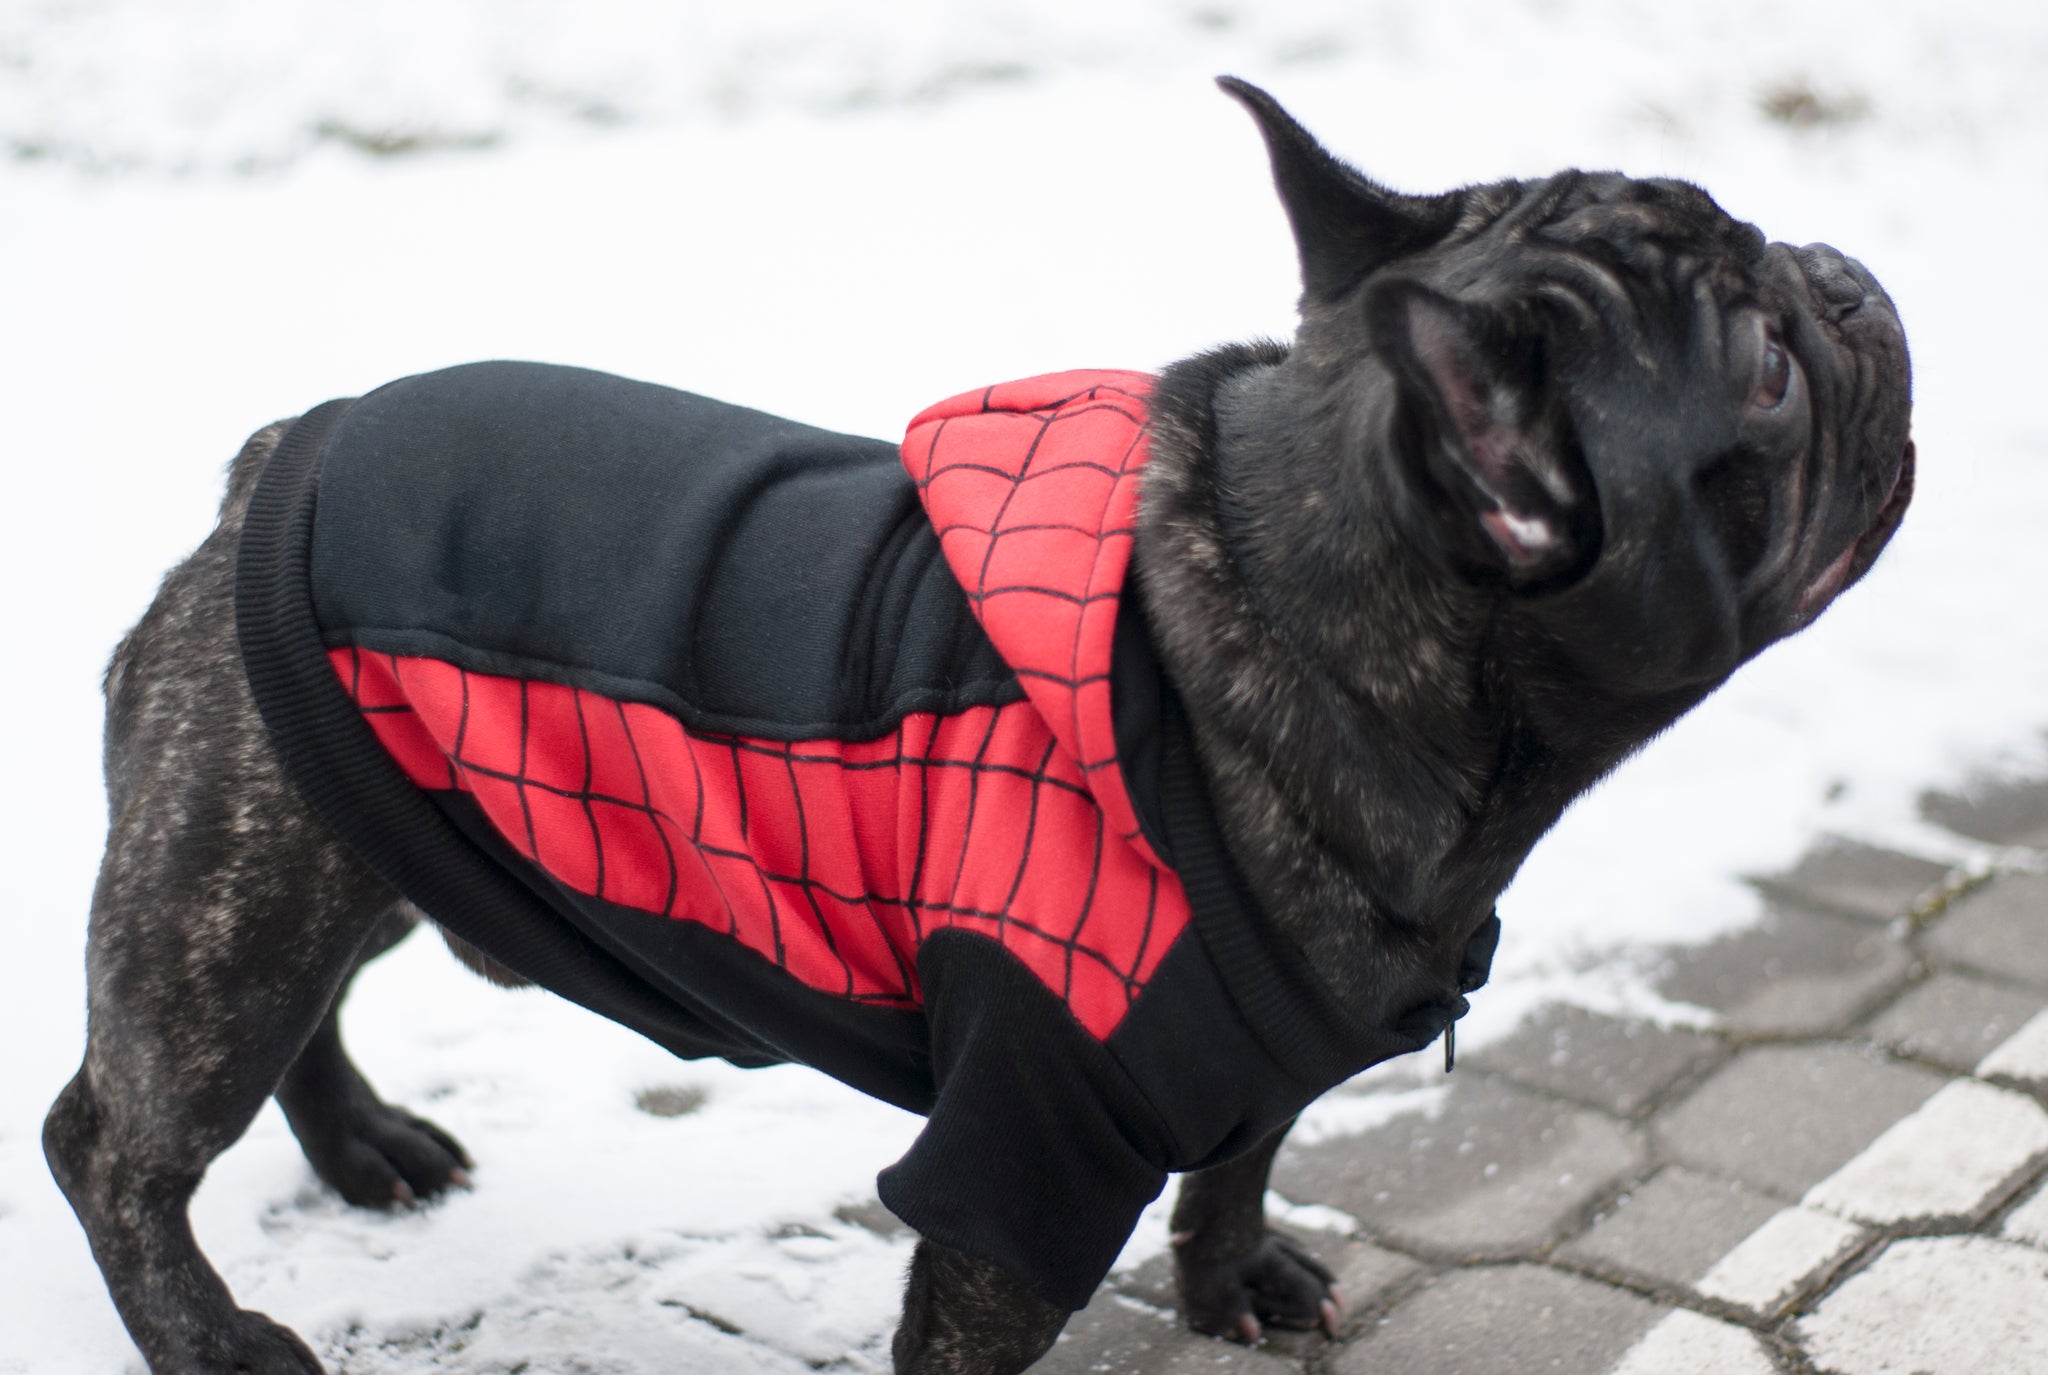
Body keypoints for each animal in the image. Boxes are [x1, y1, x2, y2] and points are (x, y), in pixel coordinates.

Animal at [44, 83, 1900, 1375]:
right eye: (1763, 372)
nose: (1842, 280)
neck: (1292, 622)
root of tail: (272, 460)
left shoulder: (1260, 1062)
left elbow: (1242, 1158)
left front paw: (1235, 1277)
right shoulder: (1018, 1165)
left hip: (376, 836)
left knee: (313, 1010)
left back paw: (364, 1149)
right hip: (240, 896)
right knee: (118, 1139)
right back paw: (210, 1331)